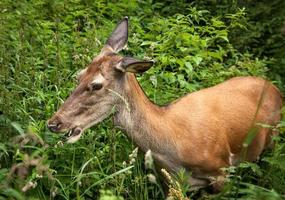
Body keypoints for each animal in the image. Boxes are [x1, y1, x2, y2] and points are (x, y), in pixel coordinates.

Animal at [47, 17, 282, 191]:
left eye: (96, 85)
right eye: (78, 76)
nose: (53, 123)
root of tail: (276, 88)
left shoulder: (222, 171)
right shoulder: (173, 182)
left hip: (273, 139)